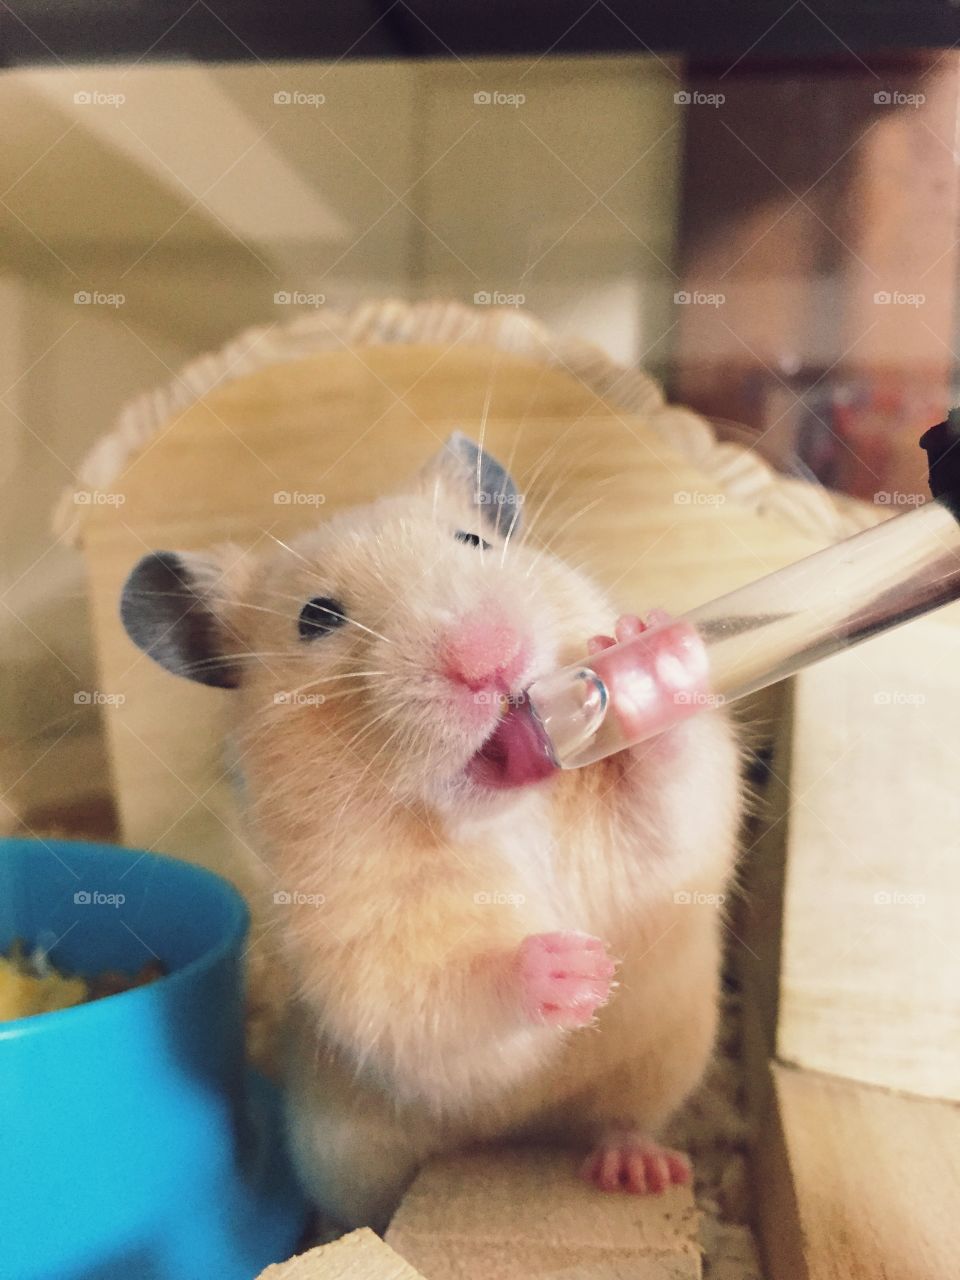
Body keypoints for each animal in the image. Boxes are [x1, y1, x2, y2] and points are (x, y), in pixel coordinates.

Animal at [120, 435, 742, 1233]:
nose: (488, 656)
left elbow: (668, 804)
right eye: (316, 618)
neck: (500, 818)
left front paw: (648, 659)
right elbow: (450, 994)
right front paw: (576, 969)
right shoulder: (372, 958)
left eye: (472, 542)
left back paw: (638, 1169)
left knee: (619, 1121)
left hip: (662, 1061)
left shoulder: (648, 843)